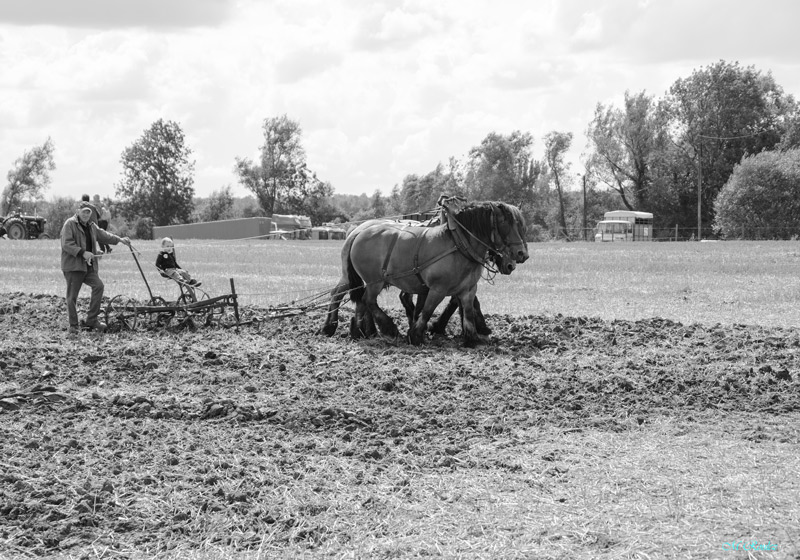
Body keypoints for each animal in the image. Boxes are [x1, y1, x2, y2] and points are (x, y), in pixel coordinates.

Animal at [322, 201, 528, 346]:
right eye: (505, 223)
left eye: (521, 226)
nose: (521, 255)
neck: (458, 245)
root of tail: (358, 232)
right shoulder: (437, 288)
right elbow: (427, 310)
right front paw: (417, 334)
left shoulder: (467, 289)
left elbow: (468, 310)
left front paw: (473, 337)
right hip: (373, 281)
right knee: (366, 300)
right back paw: (385, 329)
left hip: (358, 278)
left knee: (353, 299)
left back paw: (356, 331)